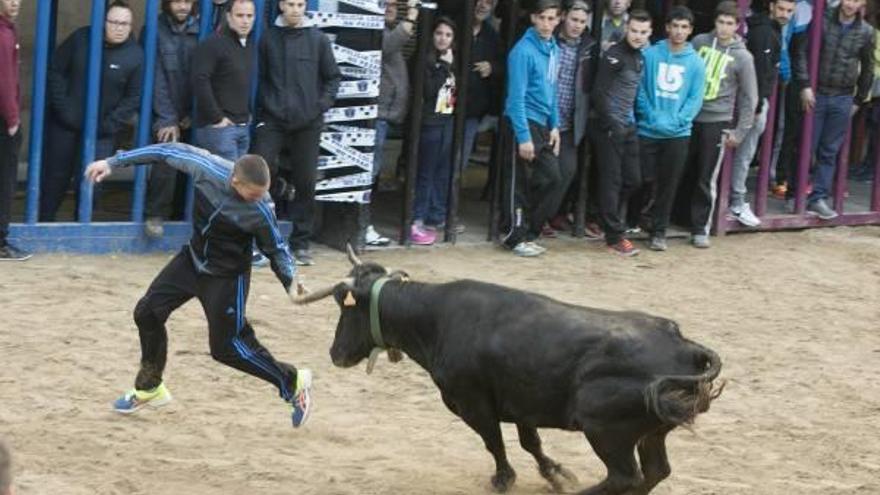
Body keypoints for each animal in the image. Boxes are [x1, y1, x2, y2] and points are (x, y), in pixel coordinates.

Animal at [296, 254, 720, 494]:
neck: (436, 319)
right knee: (654, 473)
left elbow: (494, 443)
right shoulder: (520, 404)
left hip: (605, 429)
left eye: (345, 308)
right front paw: (555, 473)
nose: (335, 353)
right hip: (650, 433)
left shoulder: (472, 403)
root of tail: (683, 345)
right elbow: (530, 442)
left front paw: (505, 479)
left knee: (625, 478)